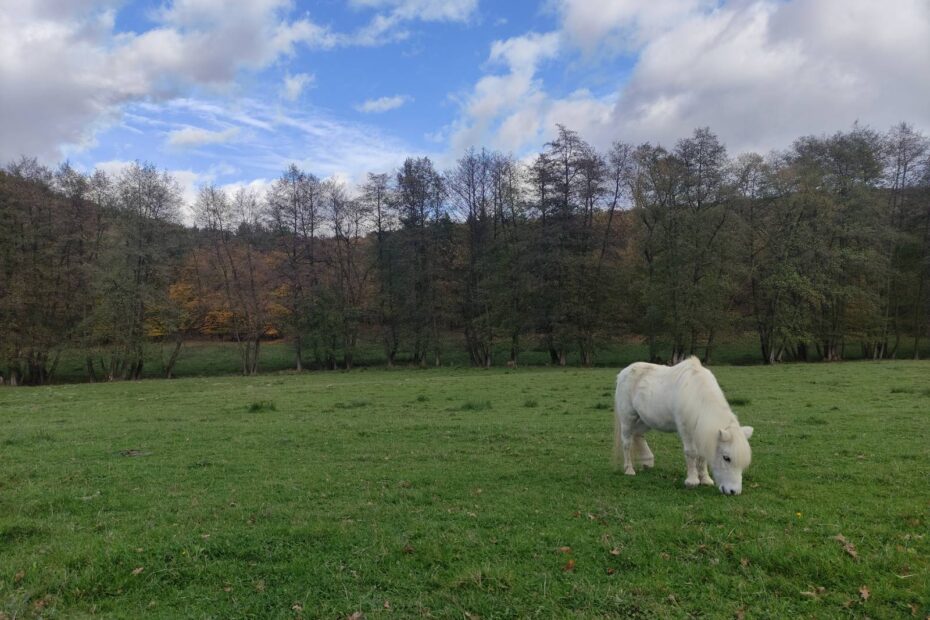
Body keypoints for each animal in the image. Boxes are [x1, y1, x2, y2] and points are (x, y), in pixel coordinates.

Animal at [608, 356, 752, 496]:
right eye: (726, 458)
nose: (733, 491)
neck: (697, 395)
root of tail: (623, 372)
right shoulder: (686, 429)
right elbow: (691, 453)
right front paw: (692, 481)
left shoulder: (701, 432)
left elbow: (702, 455)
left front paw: (705, 479)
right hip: (628, 418)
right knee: (627, 442)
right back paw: (629, 469)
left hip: (645, 420)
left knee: (637, 434)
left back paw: (647, 461)